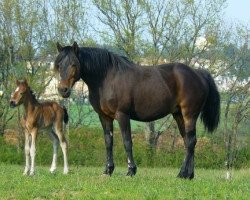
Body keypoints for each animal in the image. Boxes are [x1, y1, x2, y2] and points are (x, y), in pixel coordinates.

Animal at [54, 41, 219, 179]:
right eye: (58, 65)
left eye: (74, 64)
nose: (63, 90)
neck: (107, 78)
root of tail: (198, 73)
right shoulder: (104, 117)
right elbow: (108, 142)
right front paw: (108, 170)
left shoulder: (122, 115)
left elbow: (127, 142)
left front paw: (131, 171)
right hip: (178, 115)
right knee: (188, 142)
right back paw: (189, 175)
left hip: (189, 115)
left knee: (190, 141)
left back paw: (182, 173)